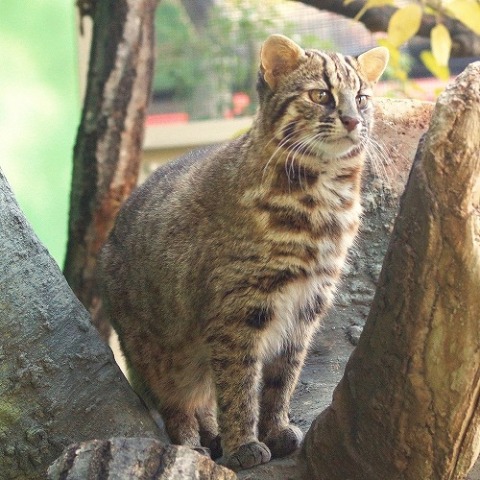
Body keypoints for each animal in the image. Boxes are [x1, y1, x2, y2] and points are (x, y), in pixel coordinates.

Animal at [99, 34, 388, 472]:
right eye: (320, 95)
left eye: (362, 98)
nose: (354, 120)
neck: (322, 197)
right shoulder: (239, 310)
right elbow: (239, 387)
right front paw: (243, 444)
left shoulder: (306, 306)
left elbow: (281, 380)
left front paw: (275, 430)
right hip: (161, 352)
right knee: (178, 403)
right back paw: (194, 445)